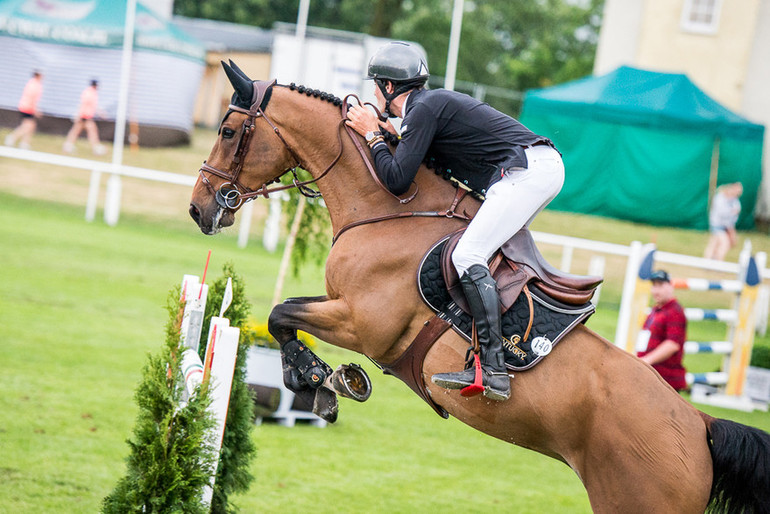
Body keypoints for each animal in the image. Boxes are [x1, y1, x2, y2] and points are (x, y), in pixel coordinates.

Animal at [190, 62, 768, 510]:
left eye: (227, 131)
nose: (199, 209)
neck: (388, 209)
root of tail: (698, 424)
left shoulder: (363, 322)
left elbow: (281, 314)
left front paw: (316, 378)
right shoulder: (345, 310)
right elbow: (283, 314)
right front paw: (318, 383)